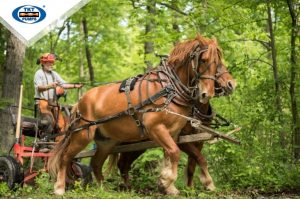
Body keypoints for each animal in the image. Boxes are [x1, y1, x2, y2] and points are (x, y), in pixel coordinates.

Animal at [106, 62, 236, 191]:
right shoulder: (182, 141)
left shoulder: (199, 140)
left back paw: (127, 186)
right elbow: (200, 158)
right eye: (216, 67)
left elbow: (193, 163)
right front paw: (207, 184)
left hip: (137, 144)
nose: (232, 84)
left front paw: (190, 187)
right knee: (122, 163)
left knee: (123, 163)